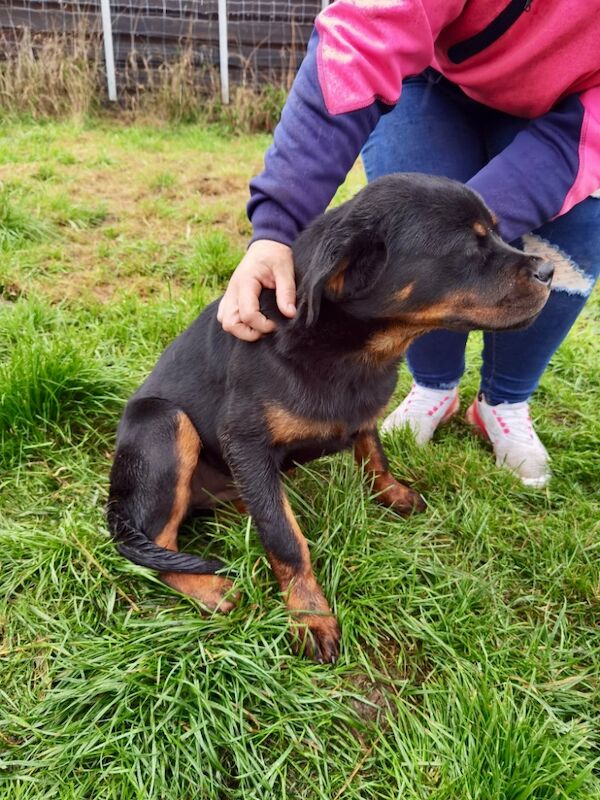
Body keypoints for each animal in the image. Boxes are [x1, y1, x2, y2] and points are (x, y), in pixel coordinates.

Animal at [108, 175, 552, 664]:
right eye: (468, 247)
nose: (550, 271)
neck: (355, 353)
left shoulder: (362, 414)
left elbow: (373, 455)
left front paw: (394, 494)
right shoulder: (244, 439)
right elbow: (286, 538)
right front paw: (310, 616)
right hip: (165, 422)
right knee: (155, 547)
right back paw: (211, 588)